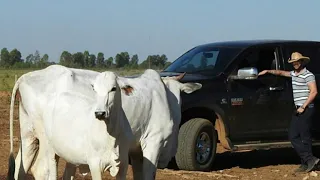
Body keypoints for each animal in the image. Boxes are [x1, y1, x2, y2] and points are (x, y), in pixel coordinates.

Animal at [6, 65, 134, 180]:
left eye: (113, 88)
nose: (99, 113)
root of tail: (25, 77)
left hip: (28, 135)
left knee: (20, 167)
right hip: (45, 141)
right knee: (41, 170)